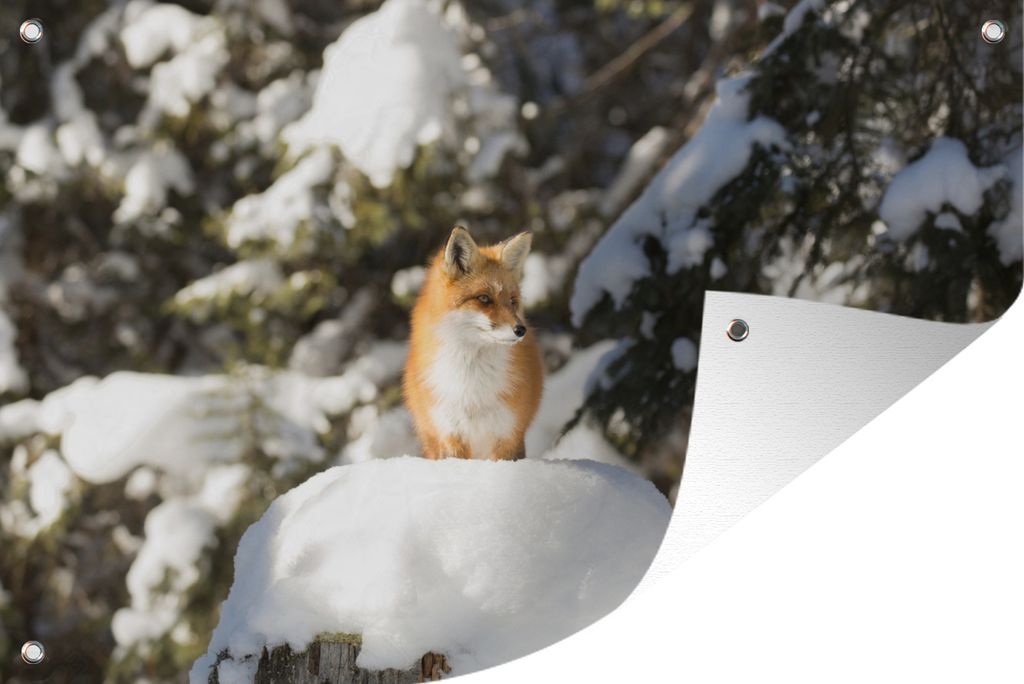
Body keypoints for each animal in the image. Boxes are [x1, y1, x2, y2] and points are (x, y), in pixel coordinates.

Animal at [403, 226, 544, 461]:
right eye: (484, 299)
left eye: (512, 301)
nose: (520, 330)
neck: (471, 389)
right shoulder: (450, 434)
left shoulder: (508, 434)